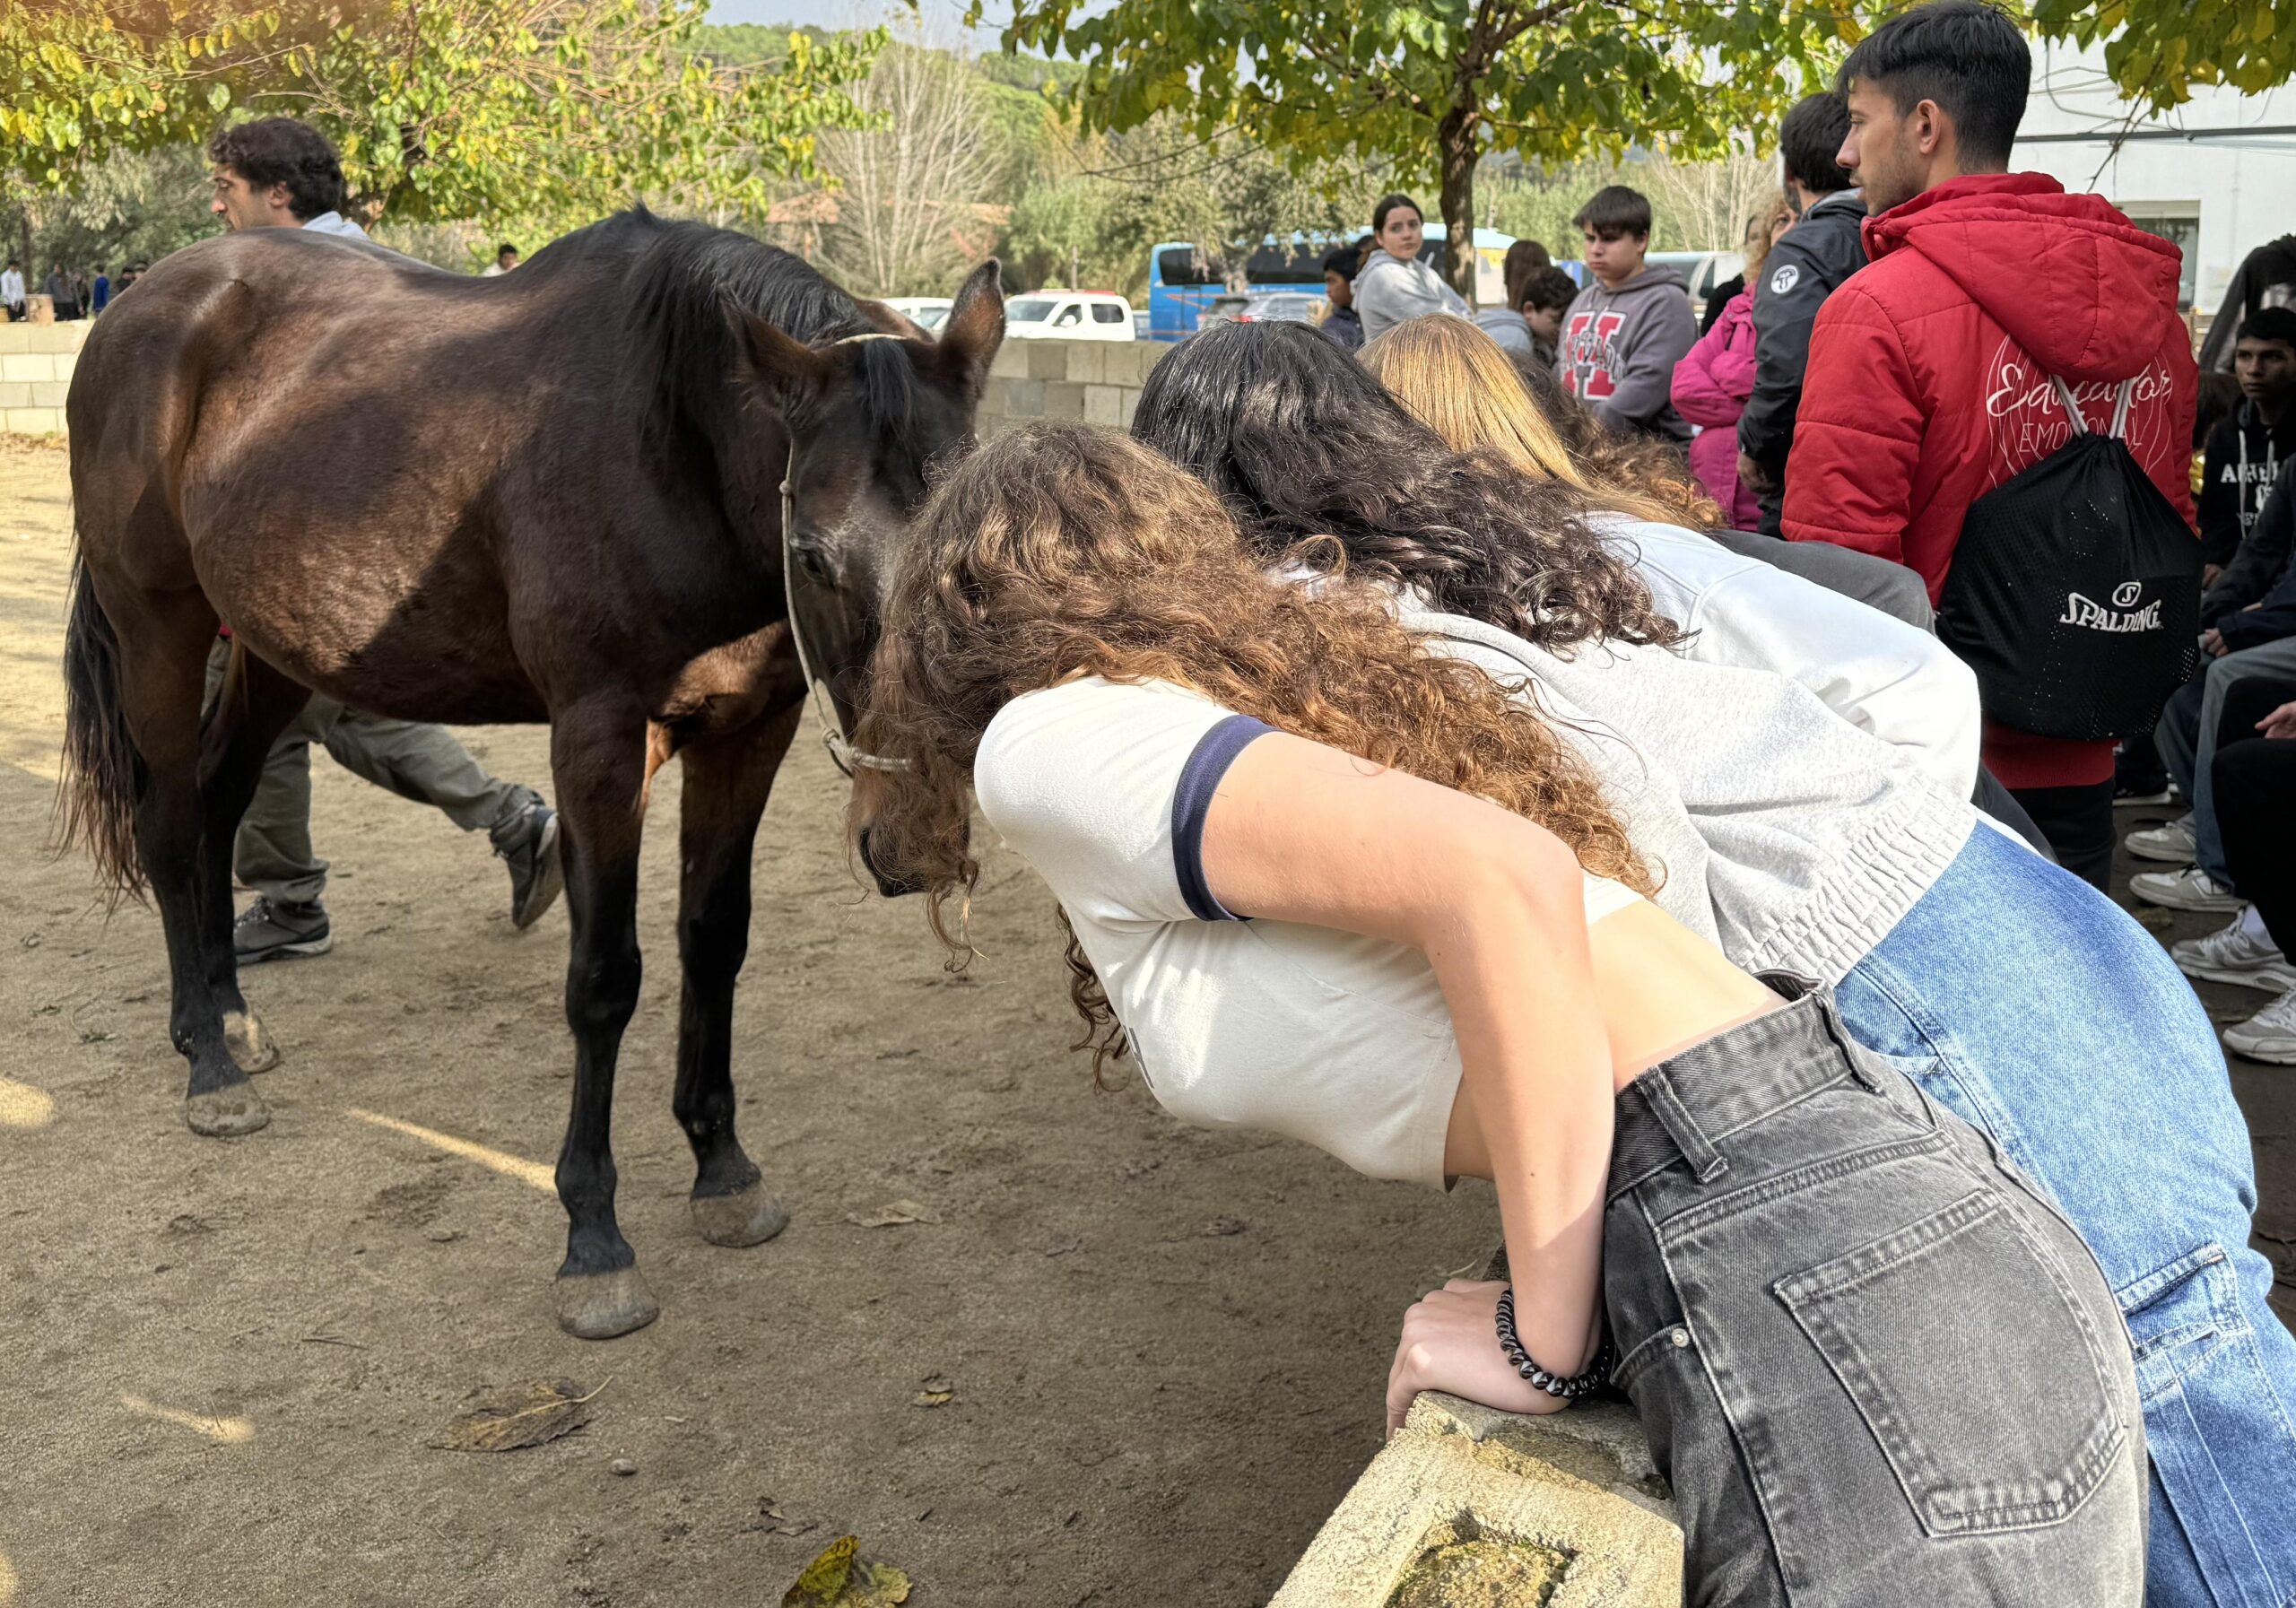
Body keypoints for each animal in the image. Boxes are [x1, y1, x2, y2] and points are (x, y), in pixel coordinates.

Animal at [56, 208, 1004, 1338]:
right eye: (816, 556)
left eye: (980, 556)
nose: (918, 837)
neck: (671, 443)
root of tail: (144, 300)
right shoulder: (599, 740)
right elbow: (604, 978)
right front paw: (593, 1238)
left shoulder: (749, 731)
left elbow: (713, 943)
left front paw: (721, 1165)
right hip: (157, 626)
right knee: (166, 823)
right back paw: (208, 1060)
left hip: (277, 652)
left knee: (218, 800)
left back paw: (233, 1015)